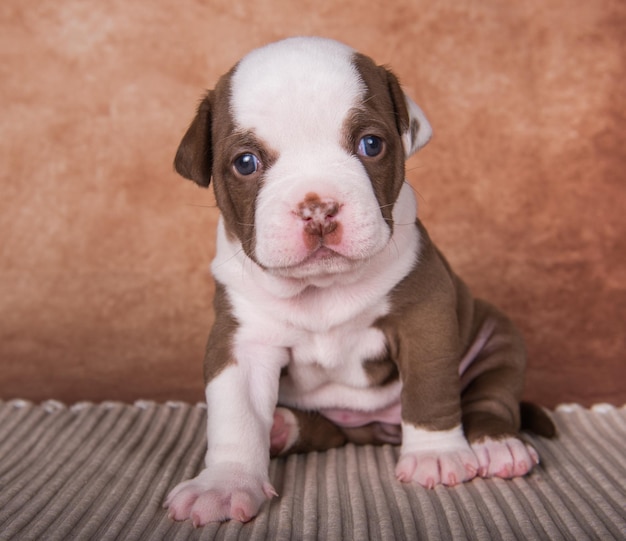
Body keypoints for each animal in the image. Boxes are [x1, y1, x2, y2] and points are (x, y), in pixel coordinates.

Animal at [165, 37, 552, 524]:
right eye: (246, 163)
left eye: (371, 144)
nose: (317, 207)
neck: (321, 288)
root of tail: (375, 429)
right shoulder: (242, 341)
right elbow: (235, 415)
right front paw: (224, 483)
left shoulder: (424, 318)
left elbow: (429, 387)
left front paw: (434, 455)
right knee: (325, 432)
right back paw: (281, 427)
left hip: (498, 335)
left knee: (491, 396)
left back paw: (497, 445)